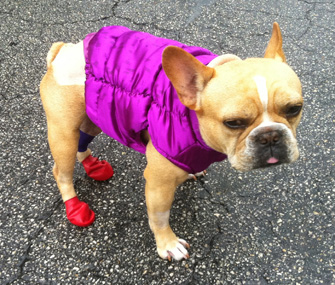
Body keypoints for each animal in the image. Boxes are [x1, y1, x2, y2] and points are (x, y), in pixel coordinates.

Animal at [40, 22, 304, 260]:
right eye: (234, 122)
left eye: (294, 108)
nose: (270, 135)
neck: (192, 115)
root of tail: (63, 51)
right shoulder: (159, 183)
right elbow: (159, 216)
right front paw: (167, 244)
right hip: (64, 133)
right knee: (61, 171)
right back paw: (74, 206)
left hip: (95, 114)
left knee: (83, 140)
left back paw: (92, 165)